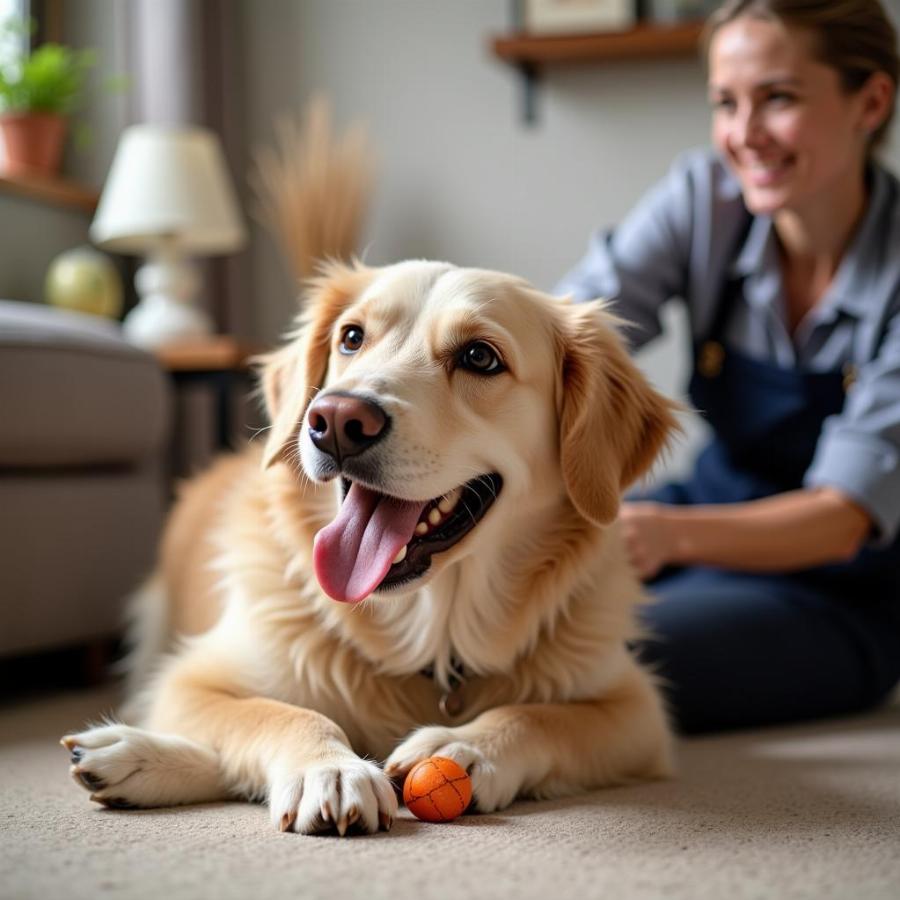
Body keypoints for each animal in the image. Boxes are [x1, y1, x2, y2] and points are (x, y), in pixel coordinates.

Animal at [63, 260, 680, 836]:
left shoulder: (636, 709)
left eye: (480, 357)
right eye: (352, 337)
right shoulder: (186, 680)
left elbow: (537, 716)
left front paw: (464, 747)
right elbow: (279, 712)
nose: (336, 419)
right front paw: (329, 768)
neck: (429, 628)